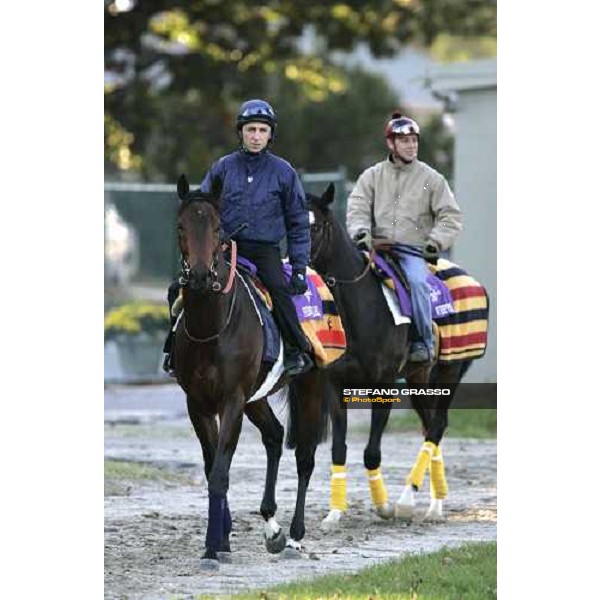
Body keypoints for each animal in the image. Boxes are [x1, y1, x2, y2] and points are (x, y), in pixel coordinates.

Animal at [171, 173, 326, 568]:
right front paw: (222, 539)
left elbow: (220, 472)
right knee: (274, 435)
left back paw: (296, 535)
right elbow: (212, 466)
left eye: (217, 226)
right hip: (256, 398)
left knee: (304, 456)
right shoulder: (199, 403)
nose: (198, 276)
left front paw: (213, 547)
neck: (211, 327)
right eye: (181, 226)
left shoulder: (231, 400)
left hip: (309, 387)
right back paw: (272, 526)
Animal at [310, 184, 474, 528]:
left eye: (315, 226)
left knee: (437, 426)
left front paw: (384, 506)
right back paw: (435, 506)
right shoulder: (336, 385)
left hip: (451, 371)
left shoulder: (383, 384)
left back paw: (408, 501)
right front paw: (334, 513)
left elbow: (371, 451)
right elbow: (338, 449)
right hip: (418, 379)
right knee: (431, 427)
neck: (360, 307)